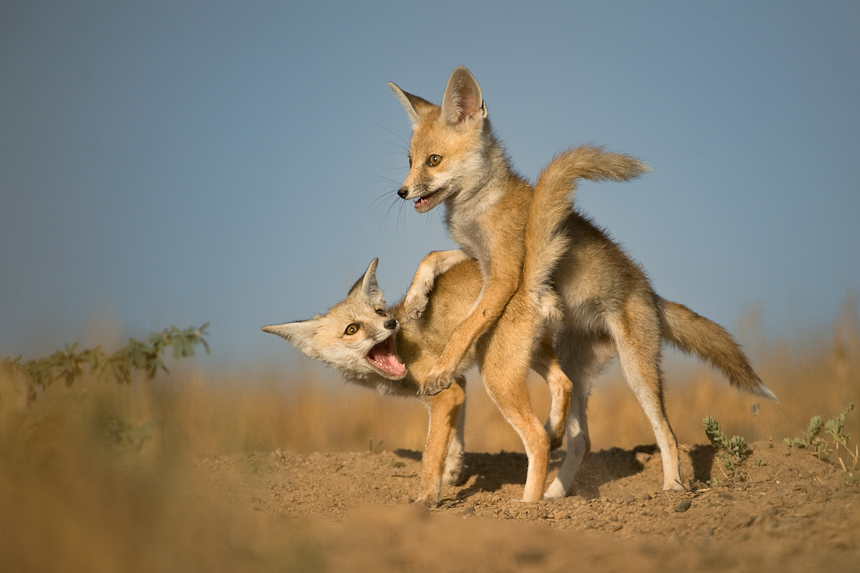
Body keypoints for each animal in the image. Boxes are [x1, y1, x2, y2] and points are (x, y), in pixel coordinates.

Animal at [266, 144, 648, 504]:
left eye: (377, 313)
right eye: (352, 329)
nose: (391, 324)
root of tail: (524, 279)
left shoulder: (443, 393)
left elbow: (430, 451)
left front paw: (427, 497)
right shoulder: (458, 385)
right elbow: (454, 439)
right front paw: (452, 472)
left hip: (497, 376)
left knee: (536, 439)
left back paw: (528, 503)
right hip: (525, 357)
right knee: (564, 384)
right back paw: (554, 434)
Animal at [386, 65, 776, 496]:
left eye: (434, 160)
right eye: (410, 160)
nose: (402, 192)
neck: (479, 210)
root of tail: (651, 293)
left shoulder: (504, 273)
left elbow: (465, 327)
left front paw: (440, 370)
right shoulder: (479, 259)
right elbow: (432, 256)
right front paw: (418, 297)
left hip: (638, 373)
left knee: (667, 435)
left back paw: (671, 487)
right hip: (577, 366)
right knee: (580, 438)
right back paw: (555, 494)